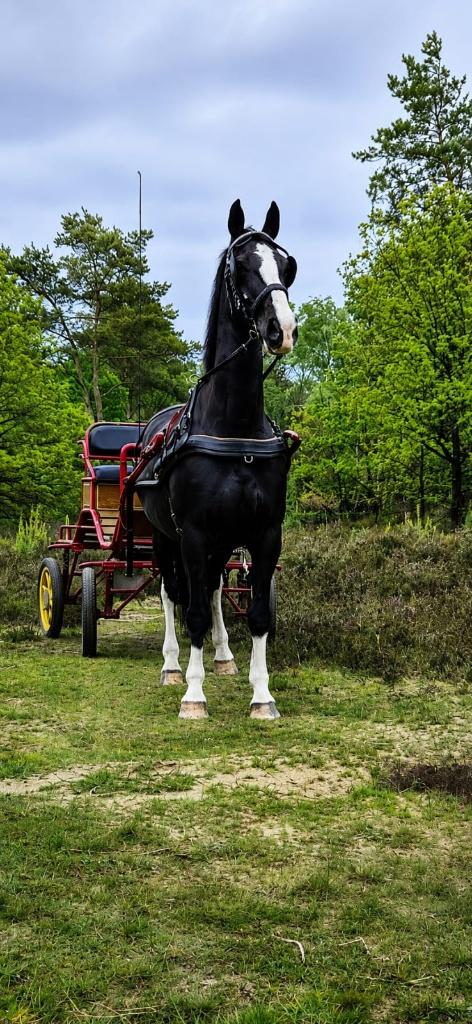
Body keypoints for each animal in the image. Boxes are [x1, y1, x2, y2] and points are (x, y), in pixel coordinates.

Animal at [136, 200, 298, 720]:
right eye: (240, 264)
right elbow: (193, 612)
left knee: (210, 588)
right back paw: (172, 665)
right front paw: (193, 694)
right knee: (173, 592)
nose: (282, 329)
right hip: (163, 537)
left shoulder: (265, 533)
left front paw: (262, 695)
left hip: (224, 540)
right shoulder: (192, 533)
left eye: (285, 264)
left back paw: (224, 656)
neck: (235, 430)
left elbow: (258, 612)